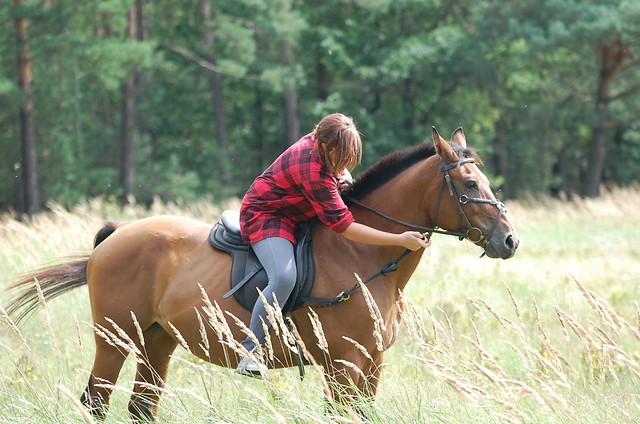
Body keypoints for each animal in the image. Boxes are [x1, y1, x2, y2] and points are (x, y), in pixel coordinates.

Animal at [5, 126, 520, 420]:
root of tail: (115, 236)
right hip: (114, 338)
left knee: (141, 406)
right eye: (470, 183)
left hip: (157, 338)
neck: (363, 255)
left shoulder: (370, 363)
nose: (510, 241)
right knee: (98, 400)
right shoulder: (344, 364)